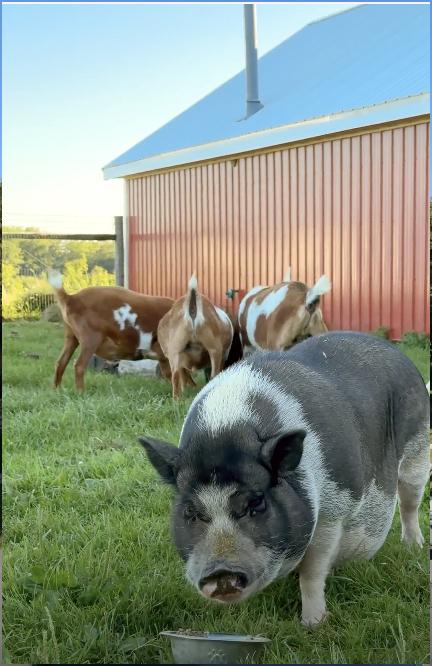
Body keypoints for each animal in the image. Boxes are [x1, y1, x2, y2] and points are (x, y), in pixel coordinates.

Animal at [140, 330, 430, 624]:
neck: (226, 428)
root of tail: (397, 353)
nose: (221, 572)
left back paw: (414, 547)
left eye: (257, 503)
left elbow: (312, 573)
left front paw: (313, 624)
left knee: (409, 504)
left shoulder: (332, 512)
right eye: (190, 511)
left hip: (418, 452)